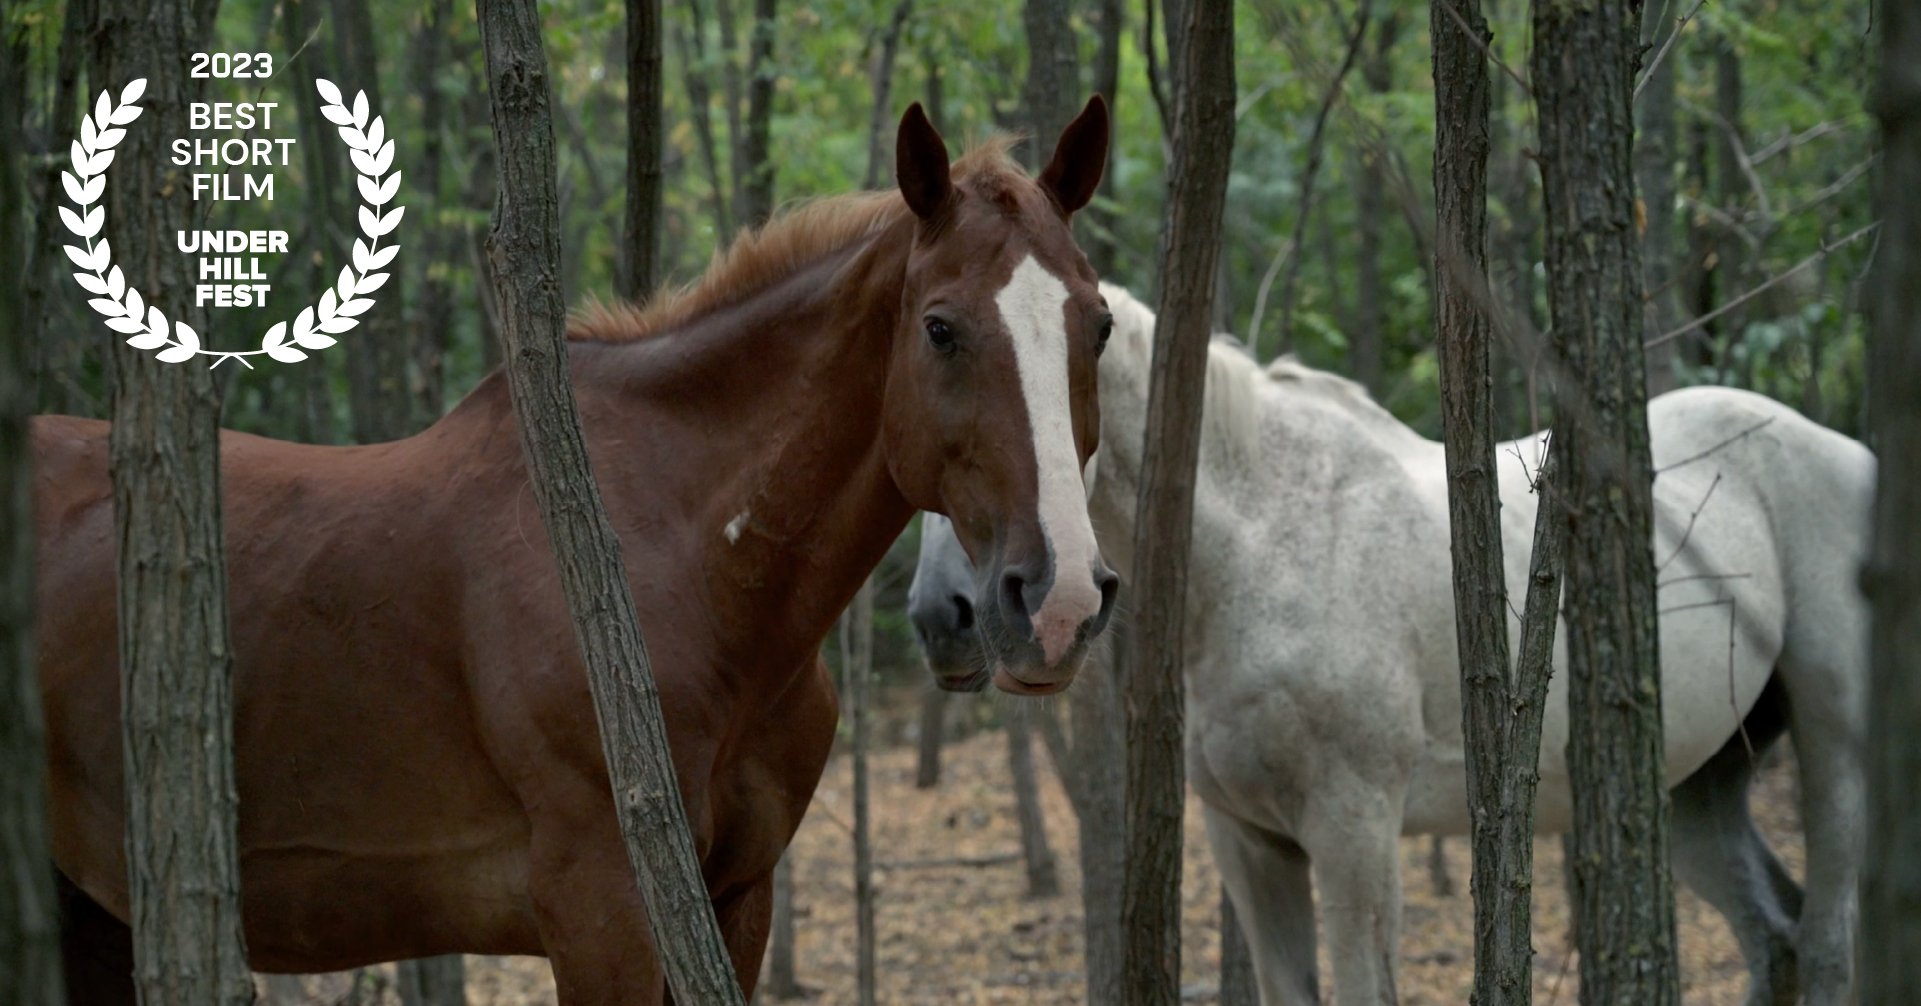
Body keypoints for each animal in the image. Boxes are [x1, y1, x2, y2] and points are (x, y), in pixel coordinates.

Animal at [33, 98, 1114, 998]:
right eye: (939, 328)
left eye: (1098, 325)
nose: (1055, 600)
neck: (678, 562)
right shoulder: (599, 906)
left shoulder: (739, 899)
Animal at [906, 282, 1867, 1006]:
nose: (945, 617)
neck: (1258, 545)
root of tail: (1846, 454)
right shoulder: (1248, 842)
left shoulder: (1353, 830)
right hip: (1696, 784)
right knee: (1774, 935)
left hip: (1833, 751)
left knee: (1825, 944)